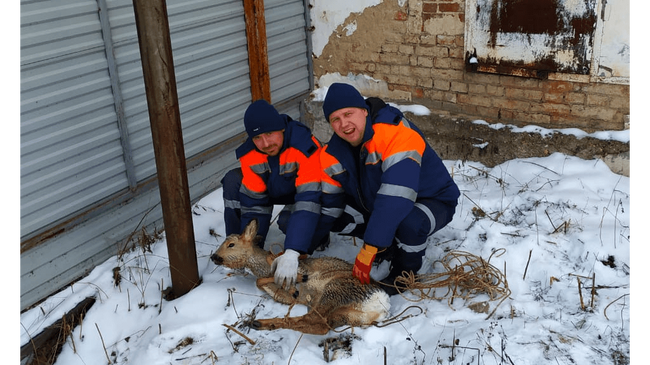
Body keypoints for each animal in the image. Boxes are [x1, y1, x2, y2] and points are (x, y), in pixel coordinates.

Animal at [210, 218, 388, 334]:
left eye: (231, 244)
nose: (213, 257)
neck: (263, 267)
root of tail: (382, 305)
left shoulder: (300, 268)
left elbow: (271, 276)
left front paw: (296, 280)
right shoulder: (286, 297)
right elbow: (260, 282)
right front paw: (291, 287)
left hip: (335, 289)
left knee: (313, 321)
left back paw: (259, 322)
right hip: (346, 315)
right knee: (319, 325)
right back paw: (261, 324)